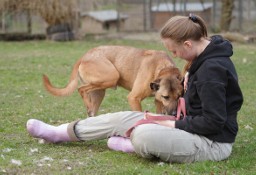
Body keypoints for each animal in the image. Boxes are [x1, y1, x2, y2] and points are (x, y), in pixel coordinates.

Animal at [43, 45, 183, 116]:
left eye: (179, 96)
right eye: (166, 97)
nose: (174, 113)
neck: (163, 67)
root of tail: (85, 55)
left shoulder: (158, 101)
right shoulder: (134, 98)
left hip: (99, 92)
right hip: (111, 76)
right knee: (80, 89)